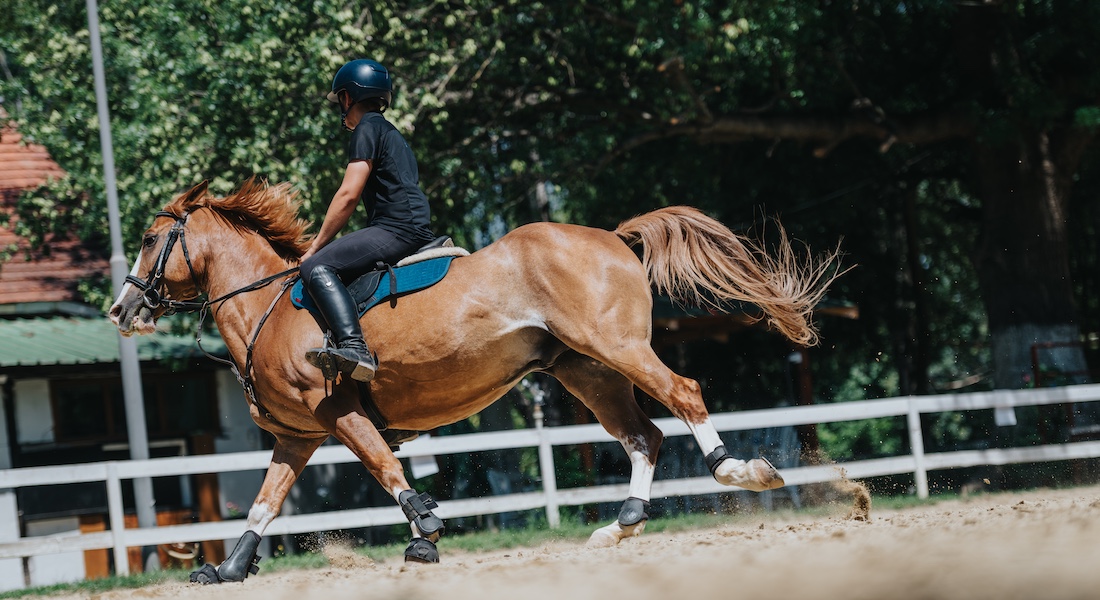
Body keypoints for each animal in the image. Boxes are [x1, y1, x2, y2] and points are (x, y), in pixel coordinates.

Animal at [109, 178, 831, 581]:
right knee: (642, 437)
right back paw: (620, 525)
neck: (268, 308)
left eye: (146, 239)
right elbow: (264, 502)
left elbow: (385, 469)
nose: (121, 310)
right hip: (585, 368)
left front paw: (425, 534)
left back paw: (740, 471)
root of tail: (613, 236)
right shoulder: (298, 437)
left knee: (683, 395)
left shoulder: (339, 414)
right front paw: (229, 568)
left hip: (617, 348)